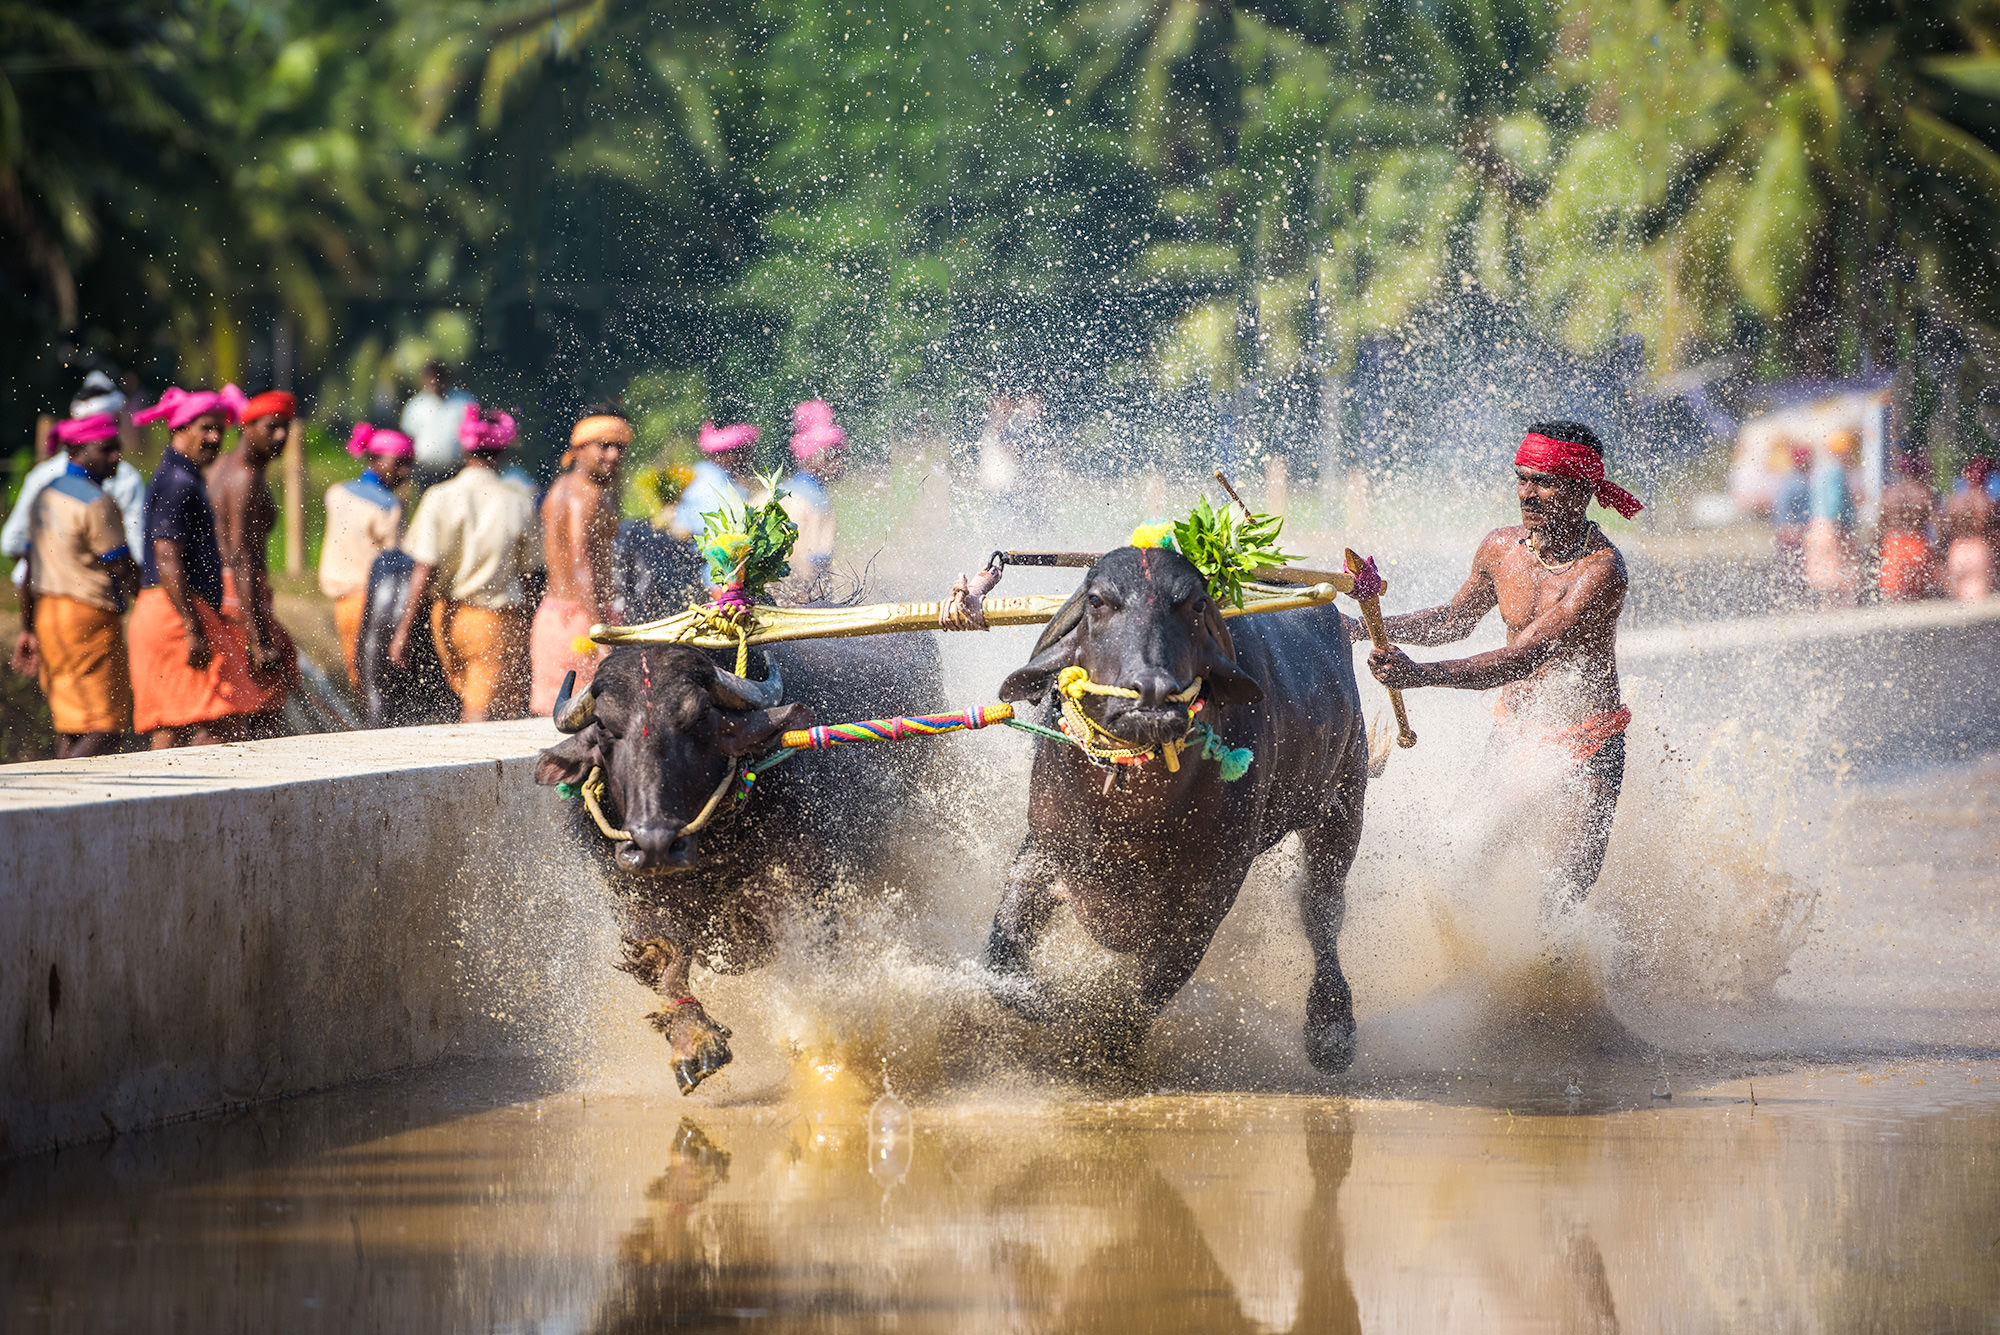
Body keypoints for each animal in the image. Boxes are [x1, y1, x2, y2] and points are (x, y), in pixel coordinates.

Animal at [532, 635, 936, 1095]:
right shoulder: (634, 897)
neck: (710, 853)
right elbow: (665, 961)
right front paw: (695, 1042)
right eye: (602, 725)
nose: (654, 843)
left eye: (699, 717)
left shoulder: (808, 887)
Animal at [988, 543, 1368, 1071]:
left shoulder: (1204, 905)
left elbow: (1136, 1006)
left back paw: (1331, 1027)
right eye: (1098, 601)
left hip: (1342, 803)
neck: (1130, 815)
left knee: (1323, 909)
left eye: (1194, 605)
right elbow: (1003, 968)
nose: (1152, 691)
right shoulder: (1044, 849)